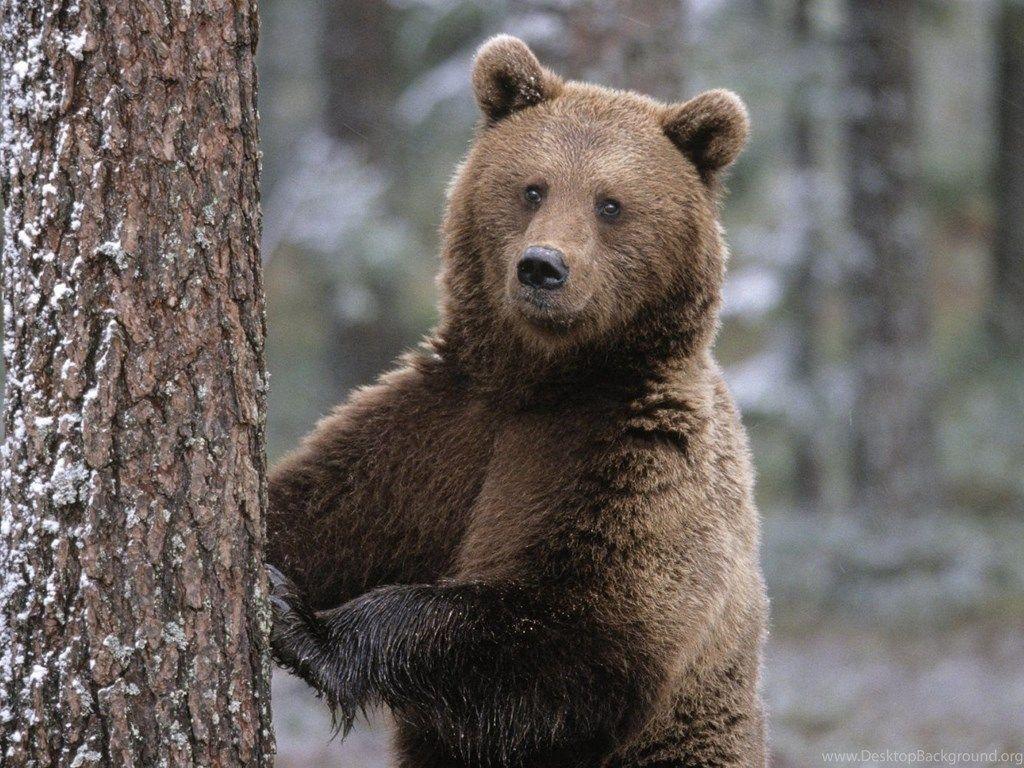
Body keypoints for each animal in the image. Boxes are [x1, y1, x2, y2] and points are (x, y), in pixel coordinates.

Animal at [267, 34, 767, 768]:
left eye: (610, 203)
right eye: (533, 188)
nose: (542, 267)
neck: (545, 380)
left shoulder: (633, 460)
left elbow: (577, 636)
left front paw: (306, 628)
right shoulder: (438, 430)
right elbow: (319, 507)